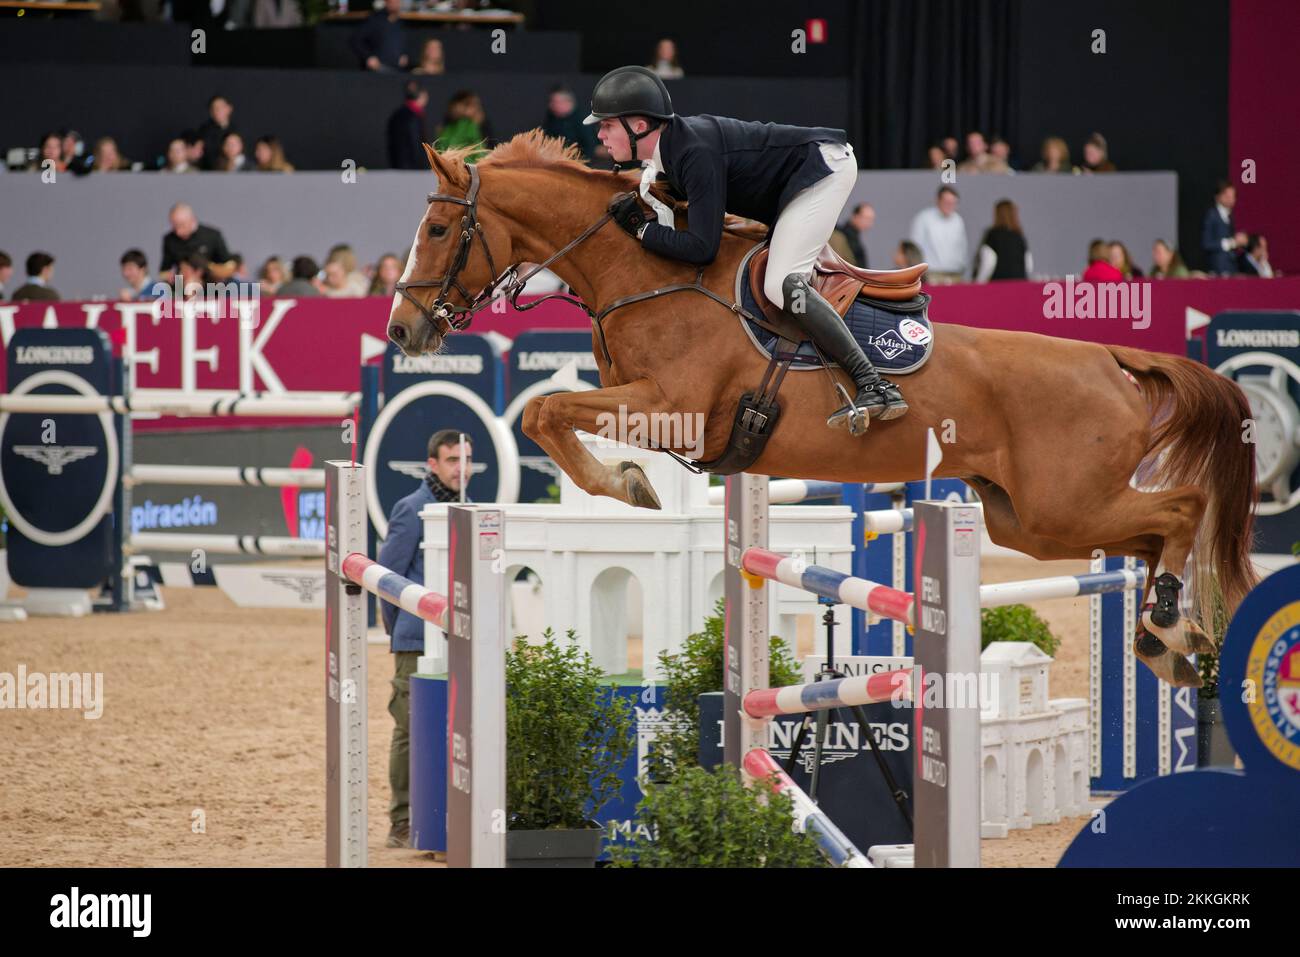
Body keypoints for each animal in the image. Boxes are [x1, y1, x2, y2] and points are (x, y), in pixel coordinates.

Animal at [387, 132, 1258, 686]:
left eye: (439, 227)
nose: (402, 330)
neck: (644, 273)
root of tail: (1110, 358)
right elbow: (549, 413)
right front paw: (627, 483)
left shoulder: (672, 406)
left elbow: (545, 413)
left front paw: (628, 486)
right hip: (1032, 521)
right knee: (1149, 531)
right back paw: (1168, 637)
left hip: (1065, 502)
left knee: (1183, 508)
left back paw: (1172, 622)